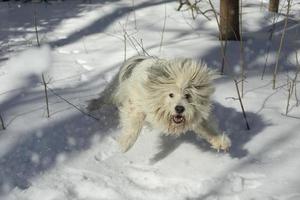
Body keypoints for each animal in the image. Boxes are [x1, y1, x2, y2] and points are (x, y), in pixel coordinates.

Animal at [88, 56, 231, 153]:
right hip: (116, 90)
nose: (179, 108)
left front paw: (220, 141)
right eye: (171, 95)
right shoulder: (136, 104)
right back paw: (93, 105)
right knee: (106, 97)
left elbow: (207, 128)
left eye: (187, 95)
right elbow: (135, 125)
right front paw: (126, 144)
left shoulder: (197, 114)